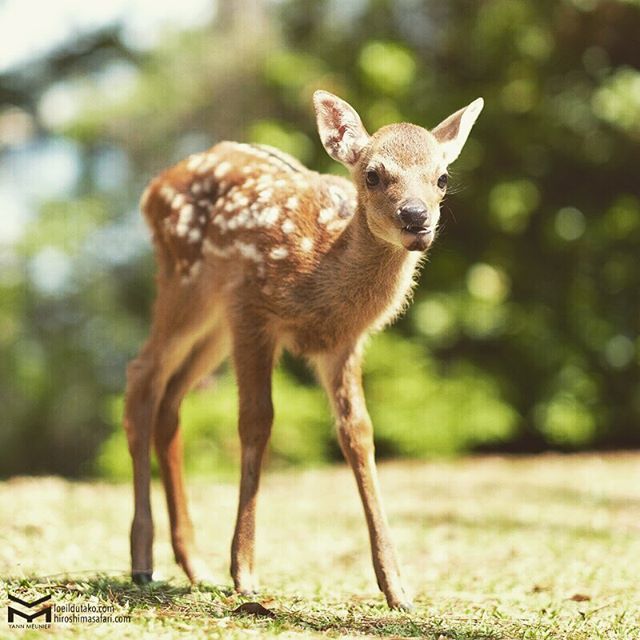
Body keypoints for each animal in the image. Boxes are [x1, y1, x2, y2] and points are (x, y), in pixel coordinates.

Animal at [125, 89, 482, 604]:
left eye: (442, 177)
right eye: (373, 174)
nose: (417, 217)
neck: (317, 266)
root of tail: (152, 190)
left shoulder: (343, 344)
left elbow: (358, 433)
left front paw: (396, 588)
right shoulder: (252, 310)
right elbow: (256, 421)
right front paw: (245, 572)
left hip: (213, 322)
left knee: (171, 399)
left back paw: (193, 565)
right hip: (184, 284)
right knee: (142, 377)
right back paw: (142, 562)